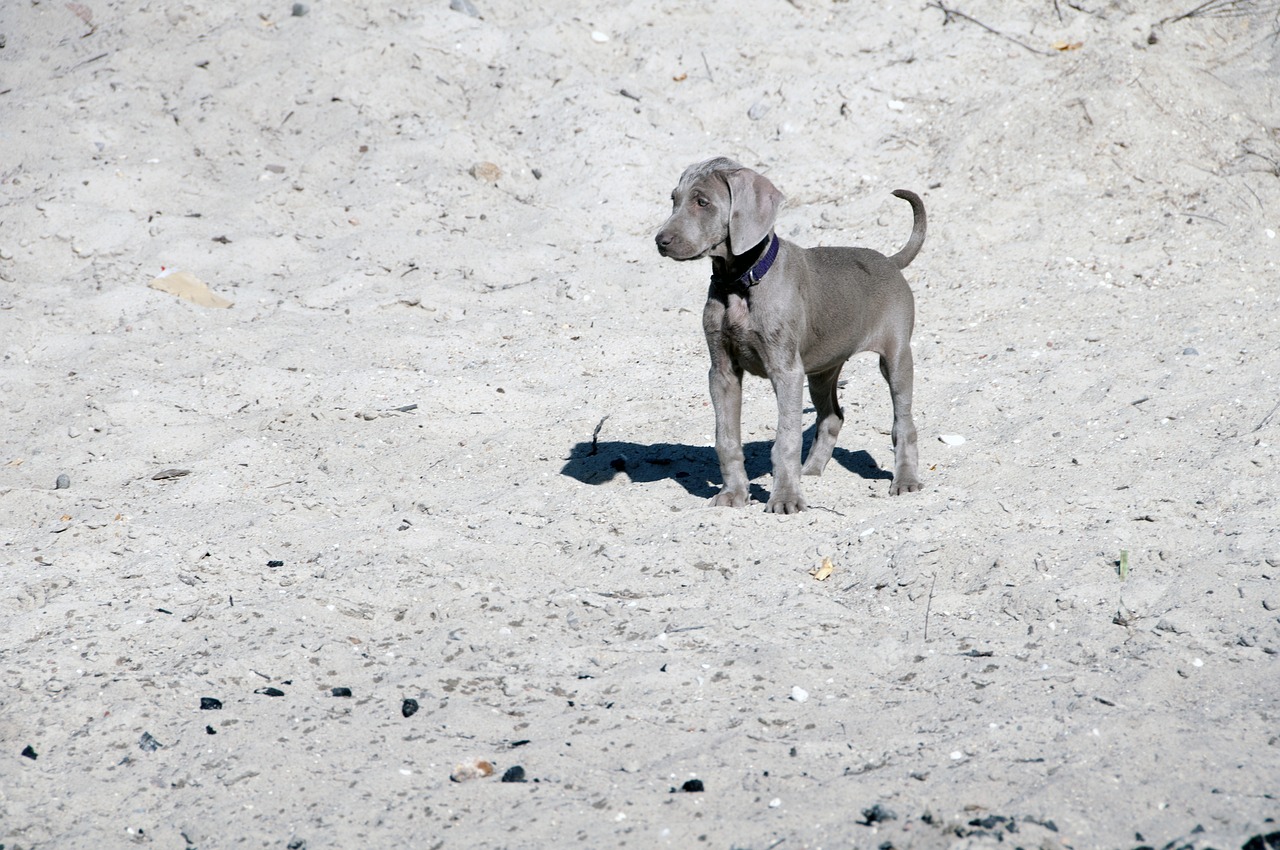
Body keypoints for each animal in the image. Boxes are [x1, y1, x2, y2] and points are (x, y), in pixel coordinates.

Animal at [655, 156, 926, 514]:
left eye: (703, 202)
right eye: (674, 199)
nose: (660, 241)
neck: (740, 282)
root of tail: (890, 261)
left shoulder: (785, 370)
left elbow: (785, 438)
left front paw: (785, 498)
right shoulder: (722, 372)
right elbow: (726, 438)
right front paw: (733, 493)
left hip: (896, 356)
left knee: (903, 422)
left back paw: (905, 480)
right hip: (822, 369)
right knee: (832, 417)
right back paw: (810, 470)